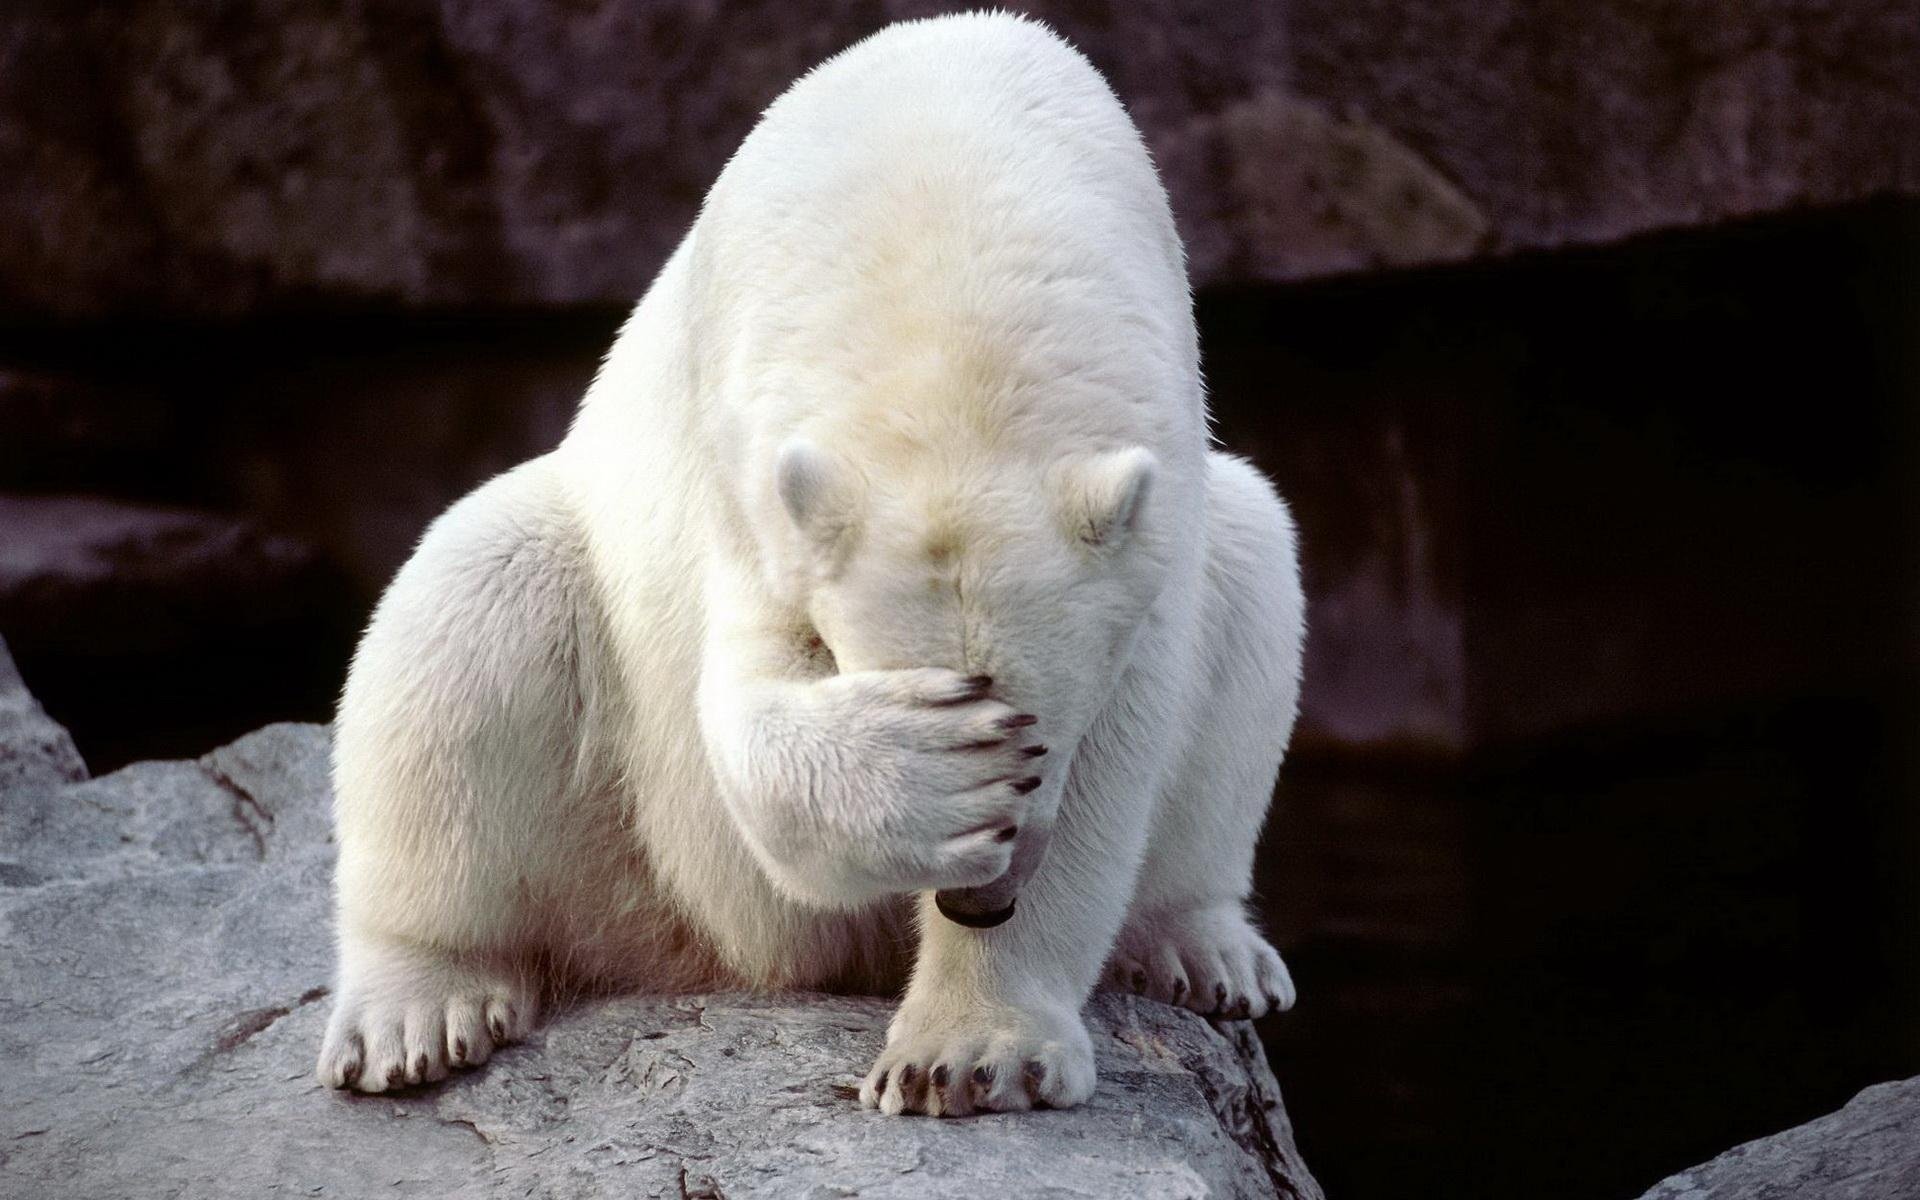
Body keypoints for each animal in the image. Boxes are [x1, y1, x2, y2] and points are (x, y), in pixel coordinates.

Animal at [315, 11, 1304, 1117]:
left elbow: (1123, 749)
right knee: (469, 606)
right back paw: (415, 1011)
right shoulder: (747, 466)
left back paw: (1206, 948)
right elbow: (745, 709)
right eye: (979, 718)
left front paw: (967, 1054)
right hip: (618, 809)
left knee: (1256, 566)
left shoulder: (1155, 499)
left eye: (1042, 735)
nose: (980, 901)